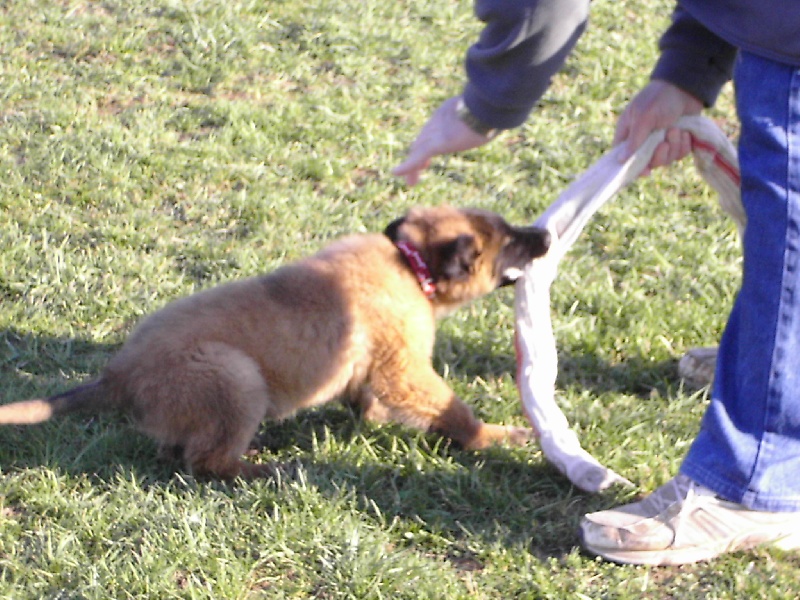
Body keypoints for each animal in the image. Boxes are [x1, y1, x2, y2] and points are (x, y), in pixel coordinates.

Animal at [0, 206, 552, 478]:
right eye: (510, 241)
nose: (546, 237)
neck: (410, 265)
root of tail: (117, 375)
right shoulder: (405, 370)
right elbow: (453, 411)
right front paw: (494, 436)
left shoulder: (372, 369)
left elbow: (371, 400)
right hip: (235, 376)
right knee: (206, 463)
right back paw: (264, 469)